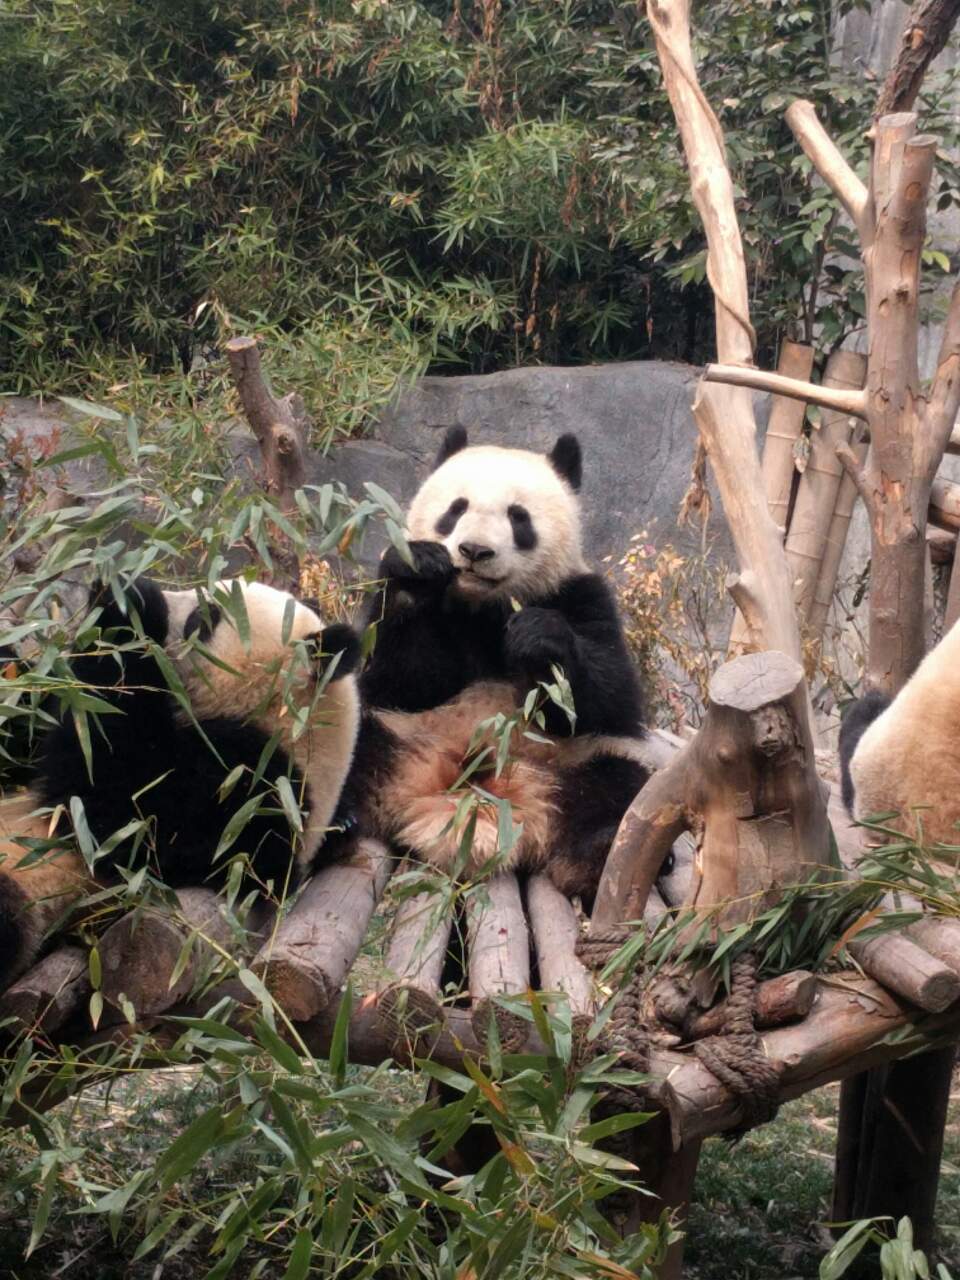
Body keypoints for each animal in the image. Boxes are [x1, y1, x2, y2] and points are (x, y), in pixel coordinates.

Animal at [335, 427, 660, 901]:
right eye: (456, 509)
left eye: (518, 518)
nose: (474, 550)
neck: (484, 605)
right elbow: (402, 680)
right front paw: (422, 570)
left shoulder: (581, 595)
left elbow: (611, 699)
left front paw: (538, 637)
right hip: (394, 734)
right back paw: (330, 825)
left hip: (573, 763)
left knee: (617, 788)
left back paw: (596, 858)